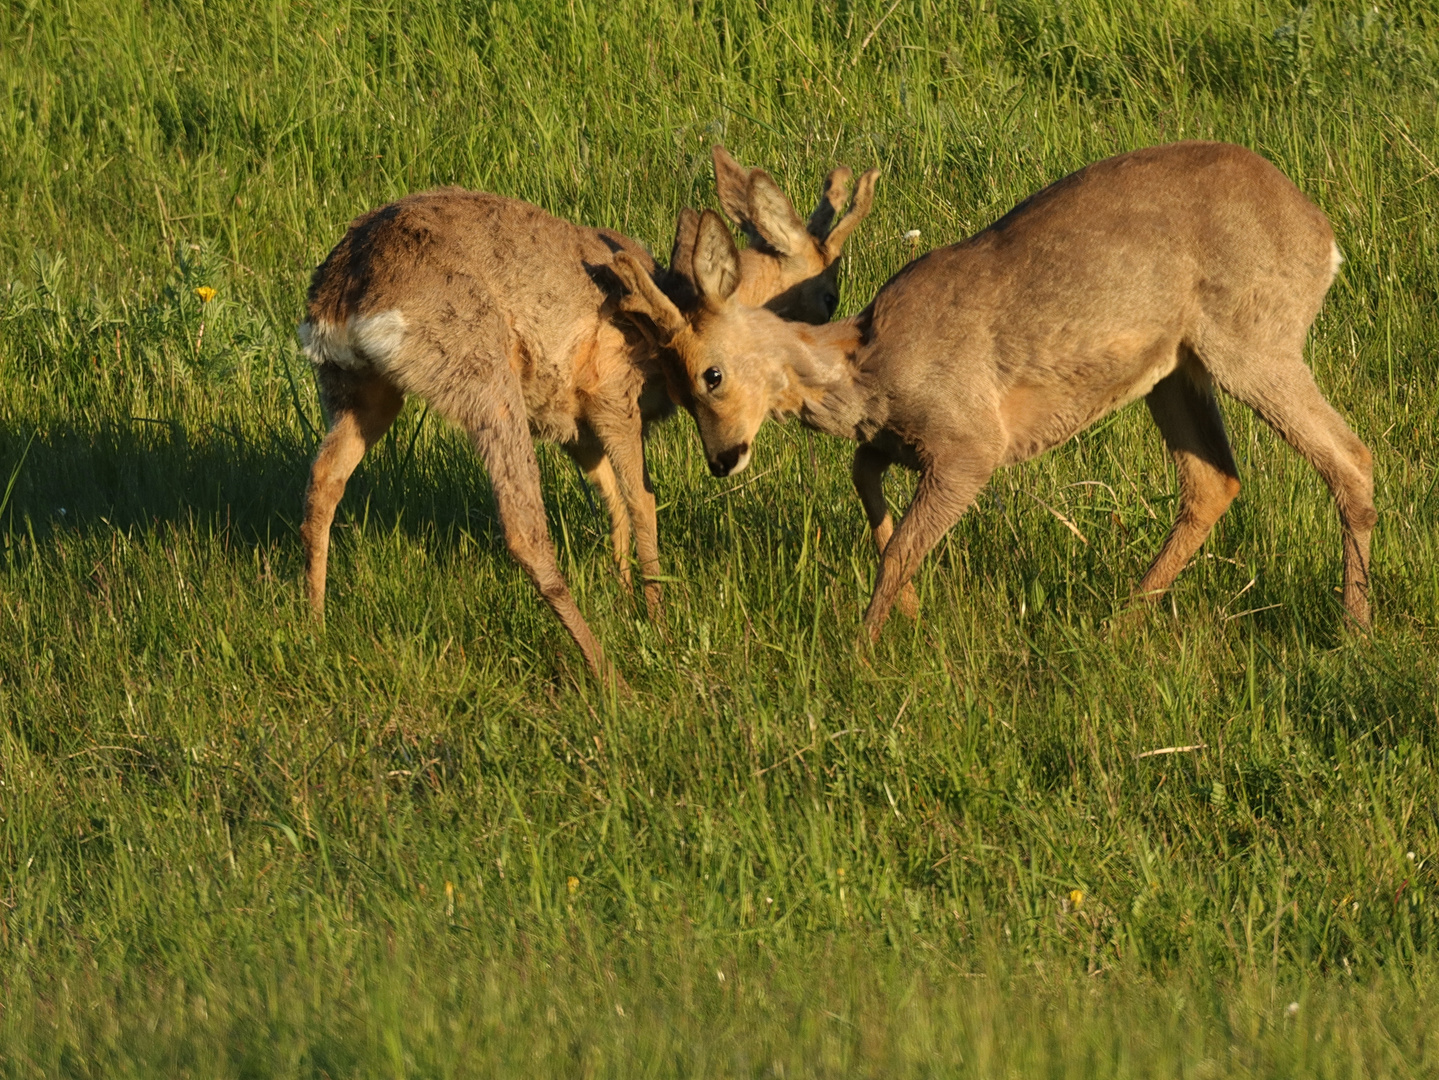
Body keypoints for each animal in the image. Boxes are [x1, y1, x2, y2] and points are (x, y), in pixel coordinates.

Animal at [297, 146, 874, 678]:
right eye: (829, 295)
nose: (821, 344)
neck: (674, 303)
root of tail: (344, 295)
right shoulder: (612, 395)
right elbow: (641, 500)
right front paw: (658, 619)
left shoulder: (575, 427)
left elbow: (612, 501)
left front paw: (626, 598)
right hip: (483, 378)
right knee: (524, 529)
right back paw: (605, 672)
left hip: (357, 389)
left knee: (322, 482)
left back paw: (316, 627)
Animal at [613, 139, 1375, 638]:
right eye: (672, 384)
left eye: (710, 375)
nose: (723, 459)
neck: (867, 365)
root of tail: (1323, 236)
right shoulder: (900, 441)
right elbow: (870, 494)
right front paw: (910, 612)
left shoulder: (969, 441)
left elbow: (900, 544)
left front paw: (862, 647)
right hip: (1173, 369)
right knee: (1214, 481)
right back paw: (1118, 621)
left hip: (1251, 340)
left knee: (1349, 456)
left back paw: (1353, 627)